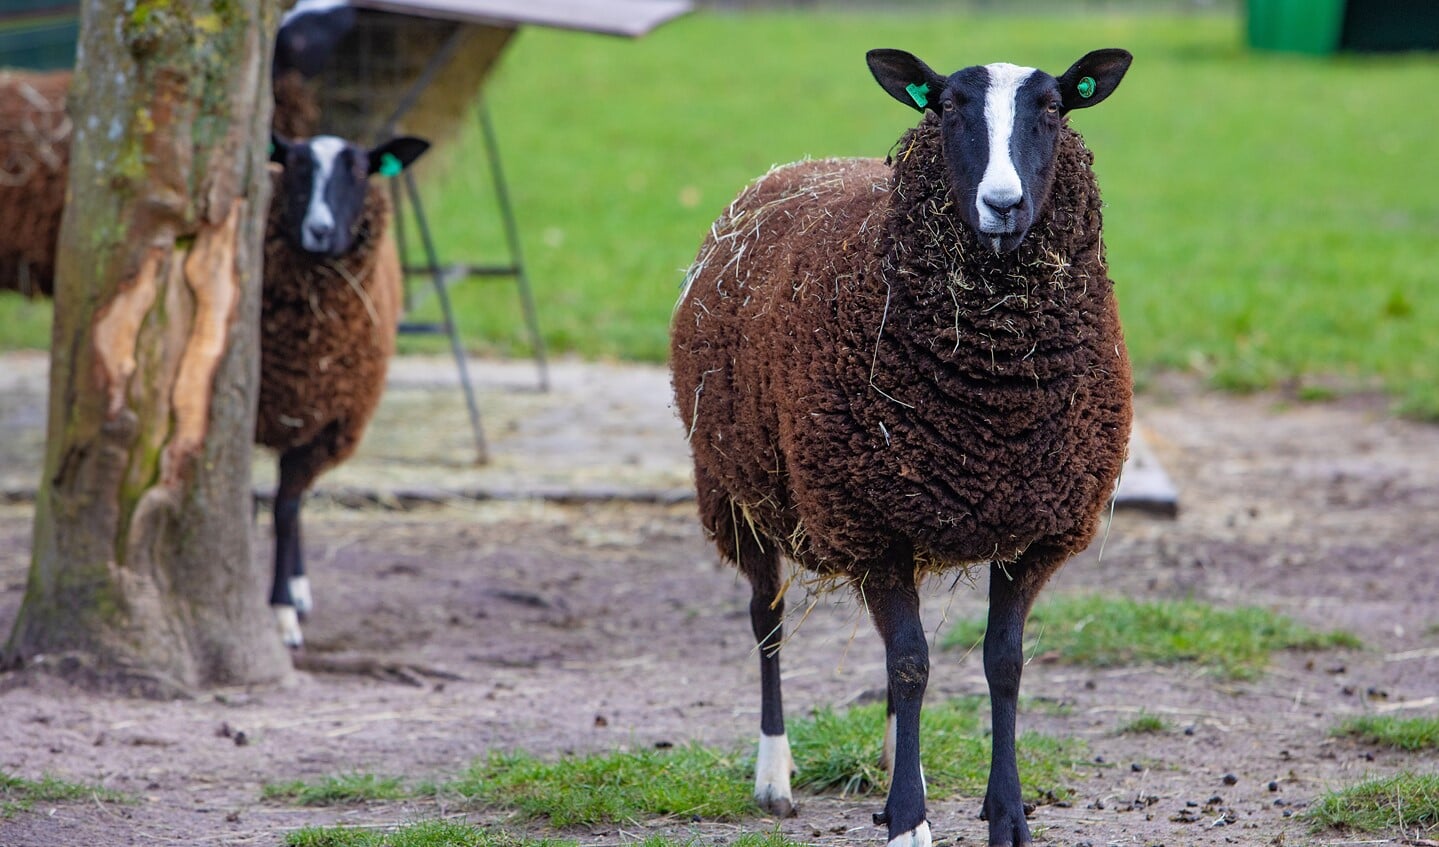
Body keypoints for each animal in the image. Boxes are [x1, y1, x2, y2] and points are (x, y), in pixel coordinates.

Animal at [261, 133, 425, 647]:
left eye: (357, 171)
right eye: (295, 165)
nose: (320, 230)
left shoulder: (328, 427)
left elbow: (286, 509)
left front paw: (283, 610)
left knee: (291, 503)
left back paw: (298, 588)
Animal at [667, 47, 1128, 845]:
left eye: (1052, 108)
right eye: (946, 108)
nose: (1002, 204)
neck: (995, 409)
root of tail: (796, 168)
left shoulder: (1033, 528)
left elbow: (1002, 663)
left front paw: (1005, 813)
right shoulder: (870, 524)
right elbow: (913, 664)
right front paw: (910, 822)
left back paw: (889, 768)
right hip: (737, 490)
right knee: (768, 620)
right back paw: (774, 776)